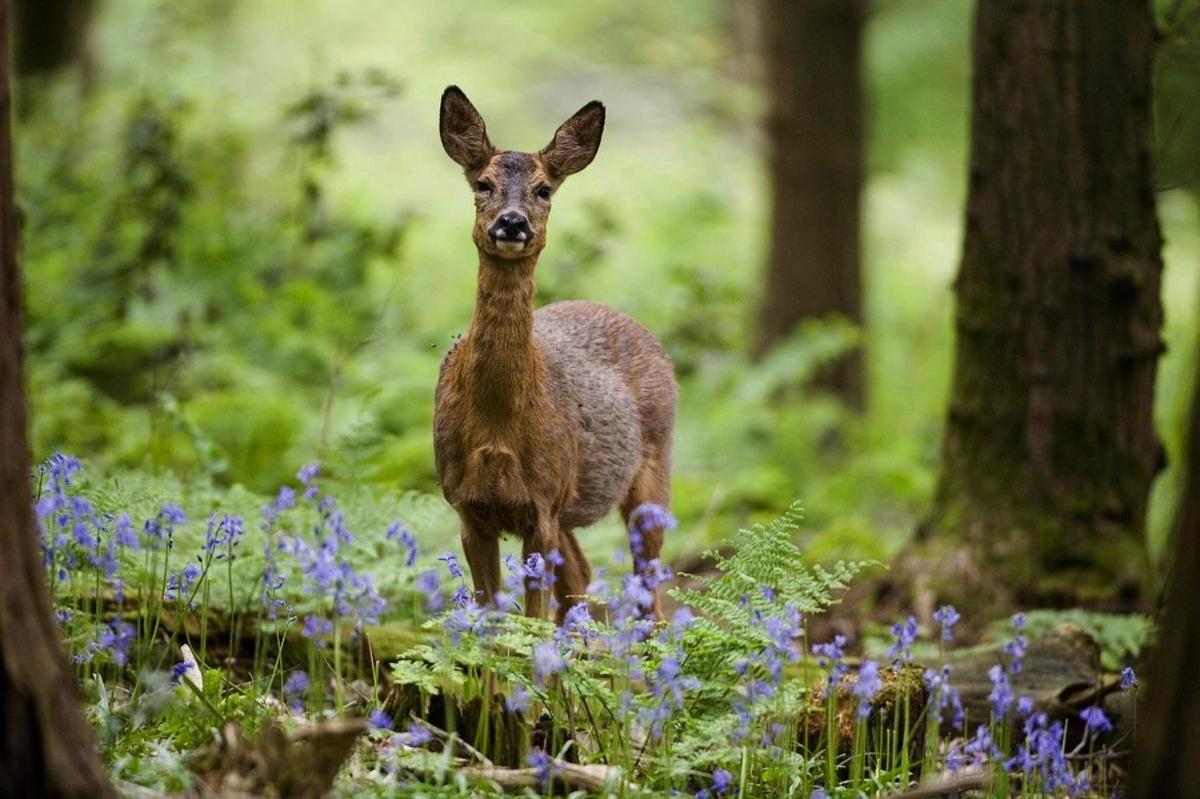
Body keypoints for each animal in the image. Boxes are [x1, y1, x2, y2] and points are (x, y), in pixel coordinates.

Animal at [432, 88, 676, 623]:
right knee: (582, 580)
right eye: (482, 183)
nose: (512, 222)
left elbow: (531, 623)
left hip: (653, 470)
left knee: (649, 593)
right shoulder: (467, 506)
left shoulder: (541, 505)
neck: (496, 423)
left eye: (544, 190)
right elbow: (492, 621)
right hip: (568, 507)